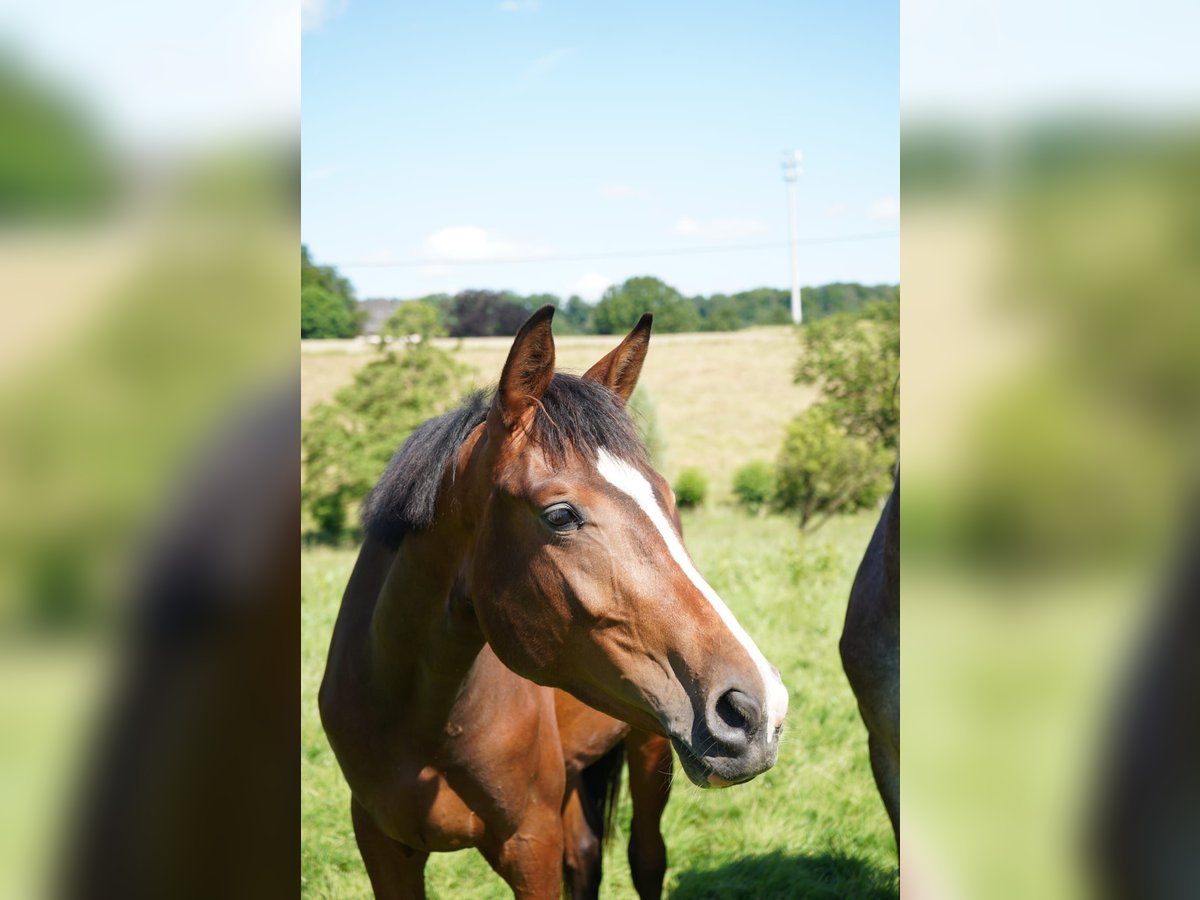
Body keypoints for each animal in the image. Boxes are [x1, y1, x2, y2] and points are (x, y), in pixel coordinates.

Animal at [319, 307, 787, 897]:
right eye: (560, 515)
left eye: (670, 499)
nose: (759, 708)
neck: (415, 713)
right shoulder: (383, 847)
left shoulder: (530, 843)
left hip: (649, 748)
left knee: (646, 858)